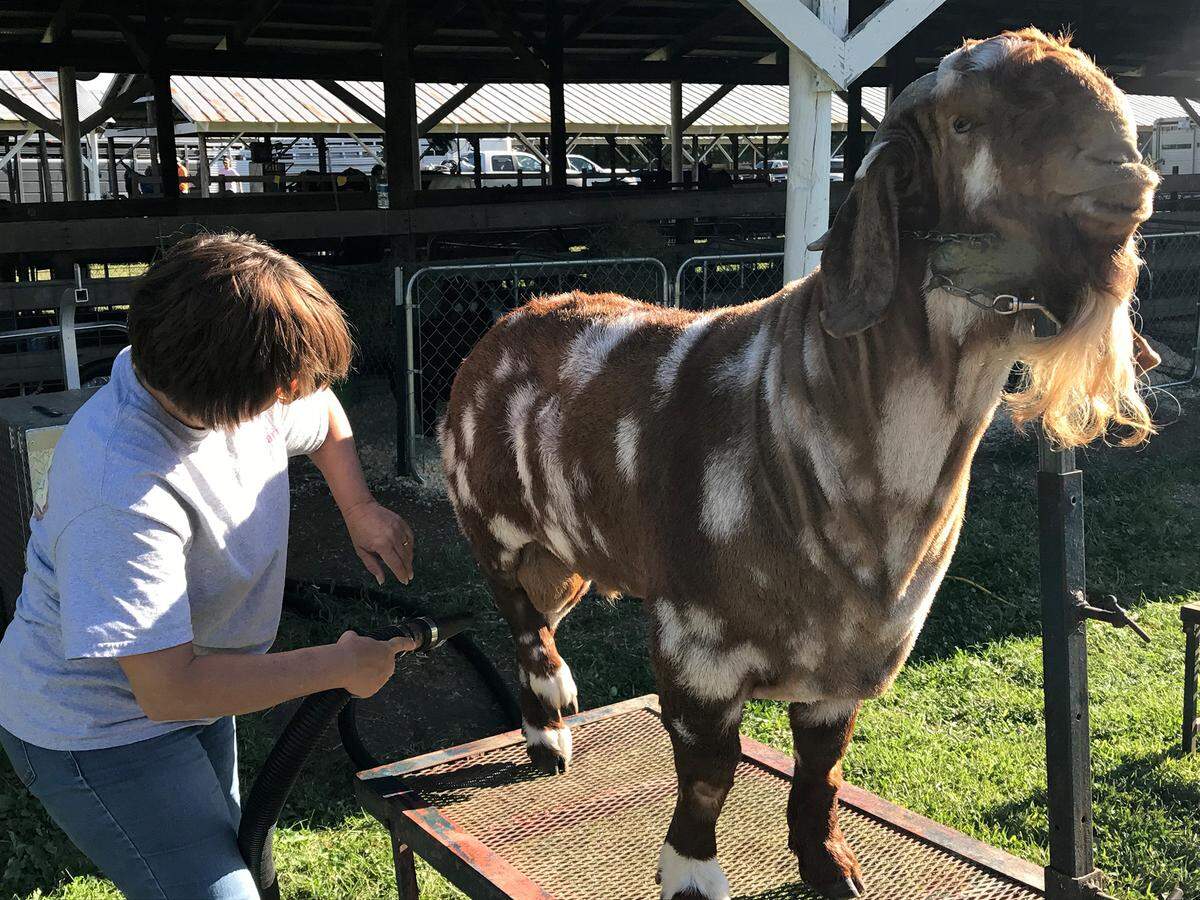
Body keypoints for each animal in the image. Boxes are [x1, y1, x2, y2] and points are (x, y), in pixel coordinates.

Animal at [440, 29, 1156, 900]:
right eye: (964, 123)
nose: (1124, 170)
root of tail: (504, 325)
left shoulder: (849, 662)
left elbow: (823, 769)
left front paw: (828, 866)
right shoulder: (695, 645)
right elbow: (709, 774)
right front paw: (691, 874)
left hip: (571, 554)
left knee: (545, 616)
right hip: (493, 529)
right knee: (521, 623)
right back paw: (547, 728)